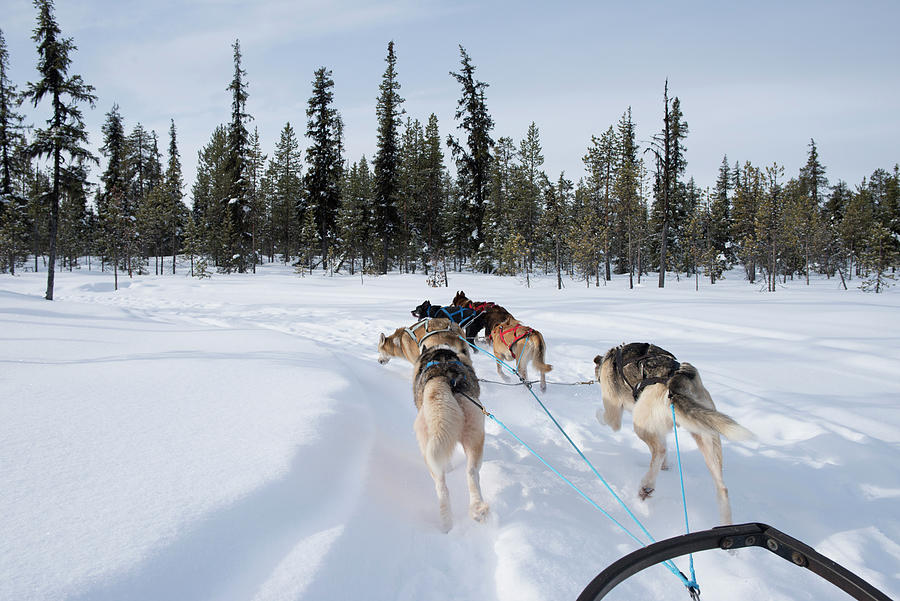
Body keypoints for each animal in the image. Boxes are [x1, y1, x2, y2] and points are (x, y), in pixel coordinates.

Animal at [412, 344, 488, 532]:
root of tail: (443, 378)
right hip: (475, 434)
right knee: (471, 473)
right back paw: (475, 510)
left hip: (428, 451)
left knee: (441, 486)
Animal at [592, 342, 752, 524]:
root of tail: (677, 380)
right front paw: (665, 466)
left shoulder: (613, 413)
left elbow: (607, 419)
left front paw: (597, 414)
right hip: (707, 439)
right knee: (722, 488)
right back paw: (725, 523)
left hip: (640, 423)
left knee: (659, 450)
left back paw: (646, 486)